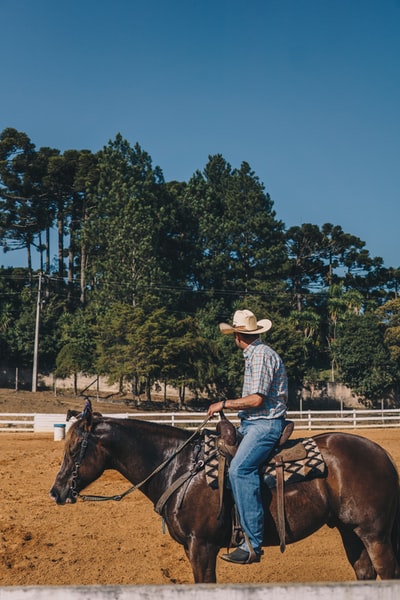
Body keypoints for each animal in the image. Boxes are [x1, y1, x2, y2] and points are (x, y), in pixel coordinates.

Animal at [50, 410, 400, 584]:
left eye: (74, 449)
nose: (56, 491)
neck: (180, 466)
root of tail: (382, 453)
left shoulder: (202, 545)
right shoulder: (193, 547)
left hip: (375, 534)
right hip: (349, 530)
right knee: (365, 573)